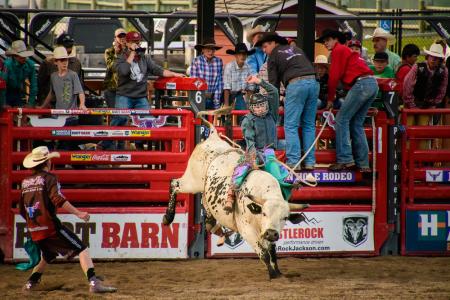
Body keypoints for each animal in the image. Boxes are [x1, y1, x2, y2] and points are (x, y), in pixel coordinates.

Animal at [163, 109, 310, 280]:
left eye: (285, 218)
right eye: (264, 213)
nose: (272, 233)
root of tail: (213, 135)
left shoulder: (268, 231)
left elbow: (272, 252)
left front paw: (279, 272)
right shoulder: (248, 231)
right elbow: (264, 253)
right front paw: (273, 274)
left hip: (205, 191)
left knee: (206, 205)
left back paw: (214, 226)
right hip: (192, 182)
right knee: (174, 184)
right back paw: (168, 217)